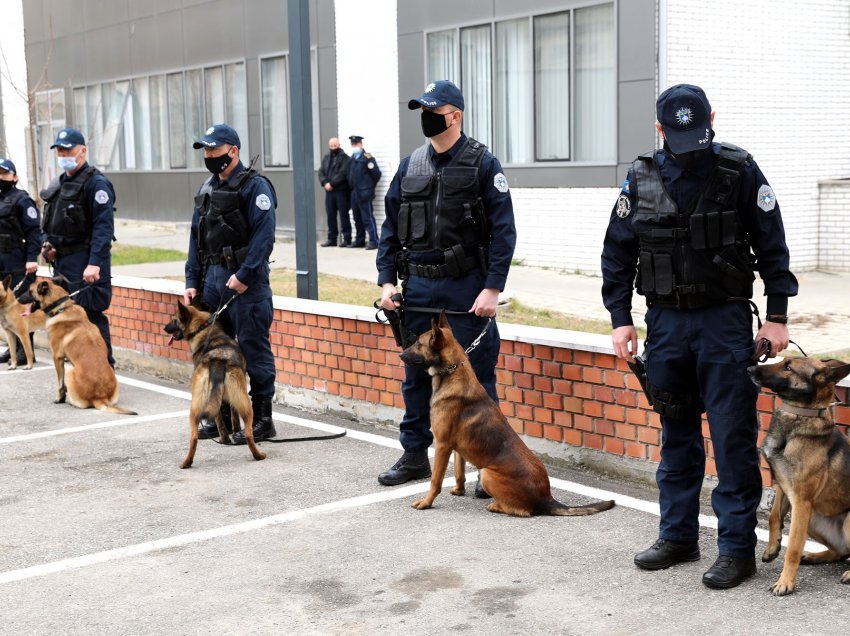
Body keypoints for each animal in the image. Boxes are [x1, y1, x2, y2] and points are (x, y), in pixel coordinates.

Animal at [19, 280, 136, 414]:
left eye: (29, 291)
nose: (17, 298)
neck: (62, 308)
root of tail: (100, 398)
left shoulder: (57, 357)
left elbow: (60, 384)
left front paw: (59, 399)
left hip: (70, 371)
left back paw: (71, 401)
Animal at [161, 298, 264, 468]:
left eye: (174, 320)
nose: (164, 327)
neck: (203, 329)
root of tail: (217, 361)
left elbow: (224, 419)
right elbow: (233, 418)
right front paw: (234, 432)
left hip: (195, 407)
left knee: (194, 437)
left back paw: (188, 461)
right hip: (244, 404)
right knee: (248, 434)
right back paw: (256, 454)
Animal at [400, 312, 612, 516]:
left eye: (418, 343)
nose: (401, 354)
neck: (451, 373)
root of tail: (546, 497)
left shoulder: (442, 445)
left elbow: (435, 481)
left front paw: (426, 502)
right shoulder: (455, 447)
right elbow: (459, 472)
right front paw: (459, 490)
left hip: (487, 473)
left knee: (523, 511)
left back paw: (497, 506)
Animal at [748, 358, 848, 596]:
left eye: (788, 367)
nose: (749, 368)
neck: (800, 414)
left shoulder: (801, 501)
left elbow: (792, 546)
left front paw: (785, 582)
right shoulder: (783, 488)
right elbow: (774, 516)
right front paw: (772, 547)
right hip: (813, 518)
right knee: (841, 552)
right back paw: (813, 556)